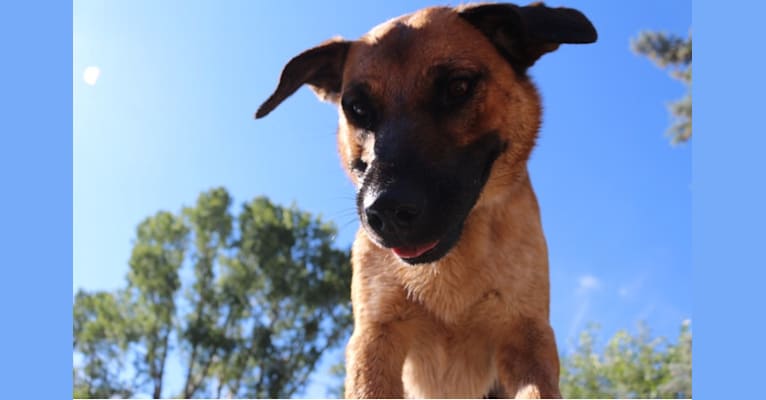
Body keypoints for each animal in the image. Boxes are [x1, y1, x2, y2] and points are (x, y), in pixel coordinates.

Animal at [258, 2, 600, 396]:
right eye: (357, 108)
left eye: (458, 87)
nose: (386, 212)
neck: (450, 267)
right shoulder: (375, 336)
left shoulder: (527, 336)